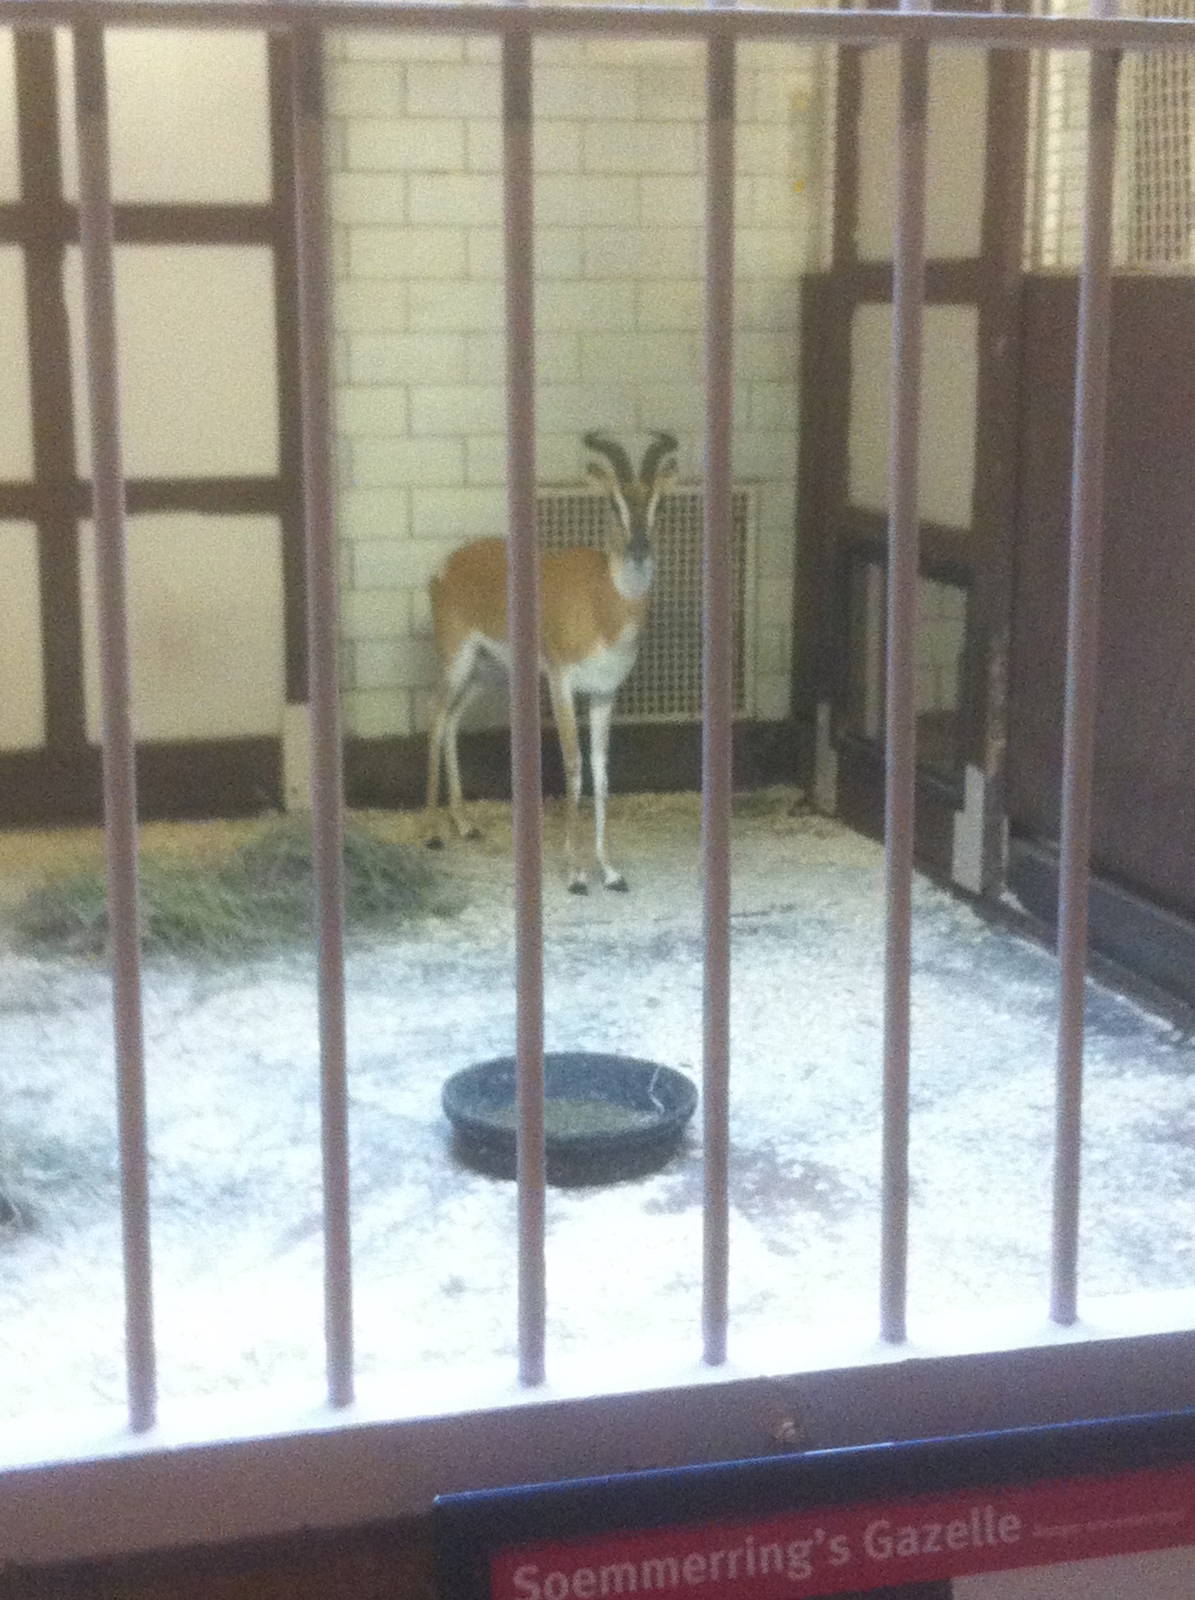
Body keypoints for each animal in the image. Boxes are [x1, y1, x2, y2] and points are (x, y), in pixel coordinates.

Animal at [425, 430, 678, 894]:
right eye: (613, 502)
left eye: (659, 502)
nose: (639, 549)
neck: (602, 602)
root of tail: (445, 565)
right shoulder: (561, 683)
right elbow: (574, 765)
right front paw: (576, 874)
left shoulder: (604, 693)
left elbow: (601, 771)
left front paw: (610, 871)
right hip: (457, 661)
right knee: (435, 717)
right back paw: (432, 832)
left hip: (487, 672)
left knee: (451, 721)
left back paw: (465, 824)